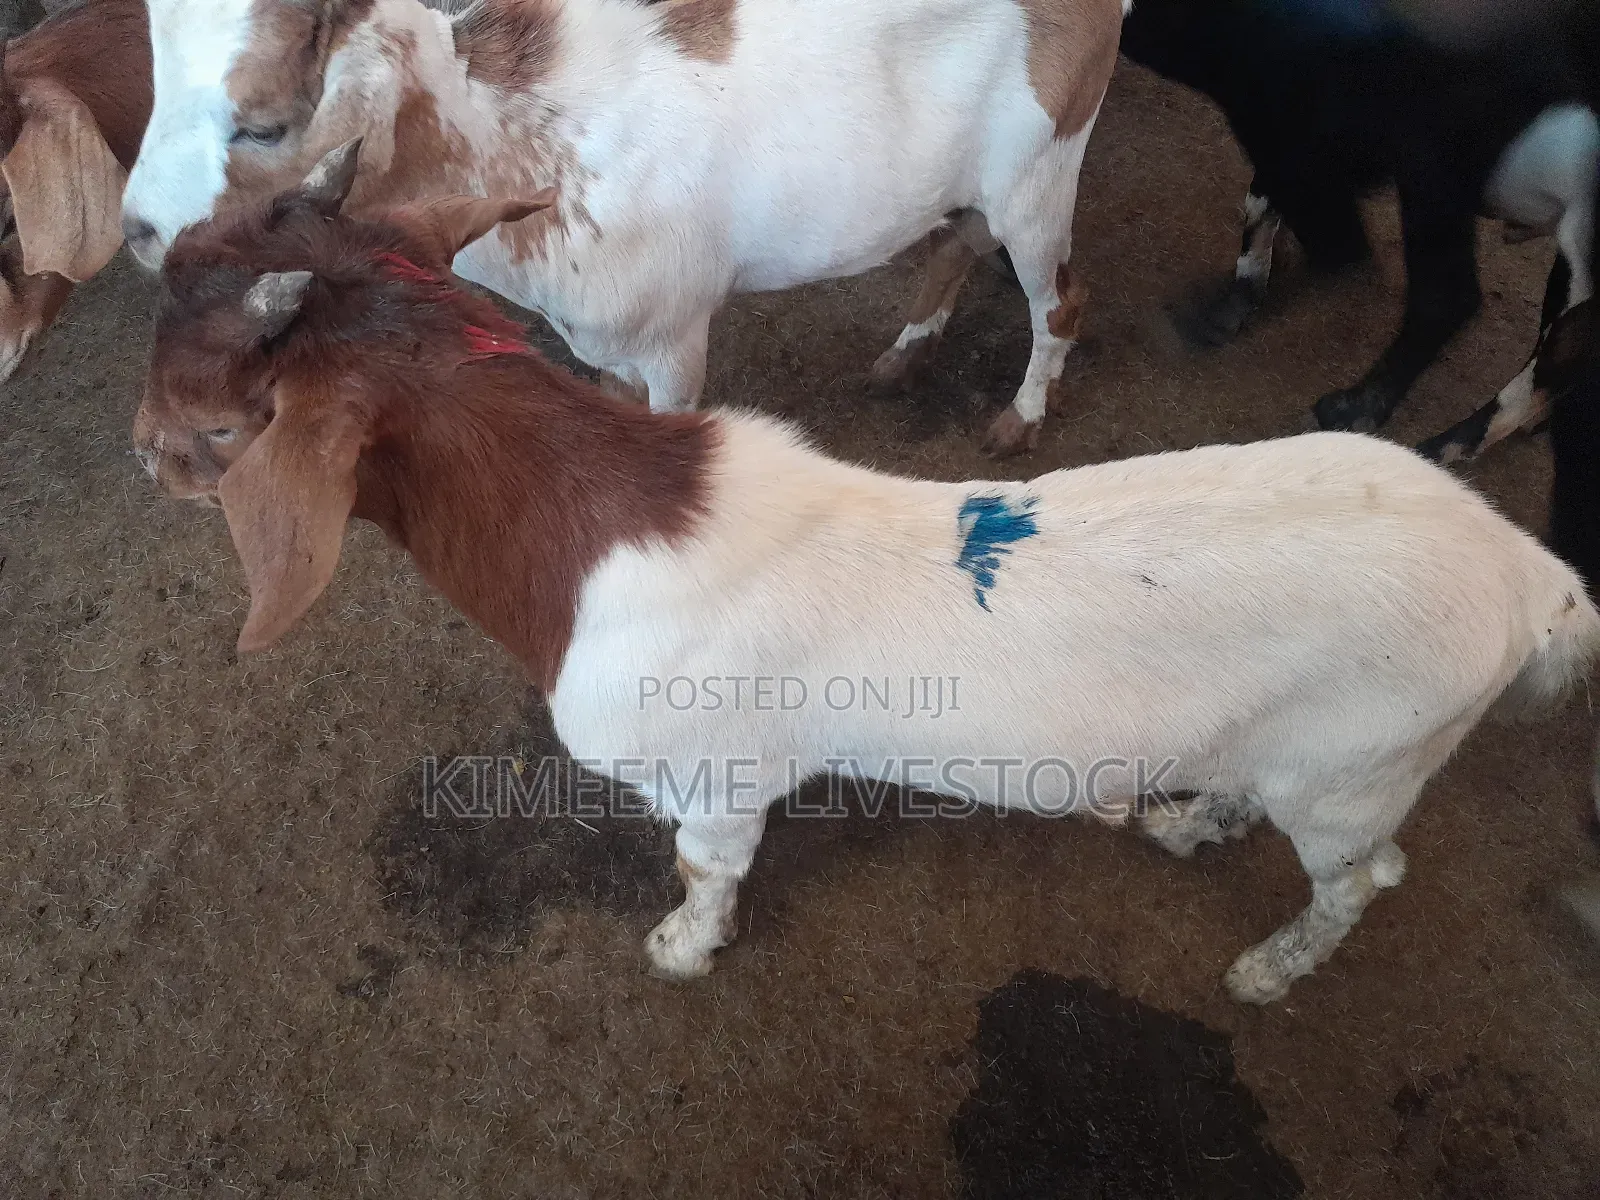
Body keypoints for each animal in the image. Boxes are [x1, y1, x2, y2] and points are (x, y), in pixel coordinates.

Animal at [118, 0, 1126, 455]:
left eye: (261, 125)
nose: (135, 231)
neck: (519, 134)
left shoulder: (674, 337)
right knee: (956, 239)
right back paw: (905, 355)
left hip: (1042, 172)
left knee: (1064, 298)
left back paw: (1019, 418)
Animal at [133, 146, 1600, 1004]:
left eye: (218, 421)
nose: (140, 457)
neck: (593, 523)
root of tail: (1535, 581)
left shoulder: (711, 775)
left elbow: (705, 869)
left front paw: (680, 953)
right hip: (1319, 748)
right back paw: (1193, 820)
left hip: (1366, 759)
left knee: (1366, 879)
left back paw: (1266, 970)